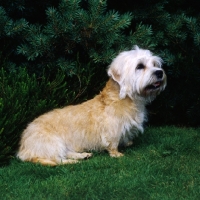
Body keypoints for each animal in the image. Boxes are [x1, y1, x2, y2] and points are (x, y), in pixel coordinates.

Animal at [16, 45, 166, 166]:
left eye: (154, 64)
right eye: (140, 66)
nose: (160, 72)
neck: (125, 98)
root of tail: (23, 148)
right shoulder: (113, 131)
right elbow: (113, 143)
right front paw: (116, 154)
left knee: (66, 153)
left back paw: (83, 155)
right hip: (52, 143)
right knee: (58, 160)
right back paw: (73, 162)